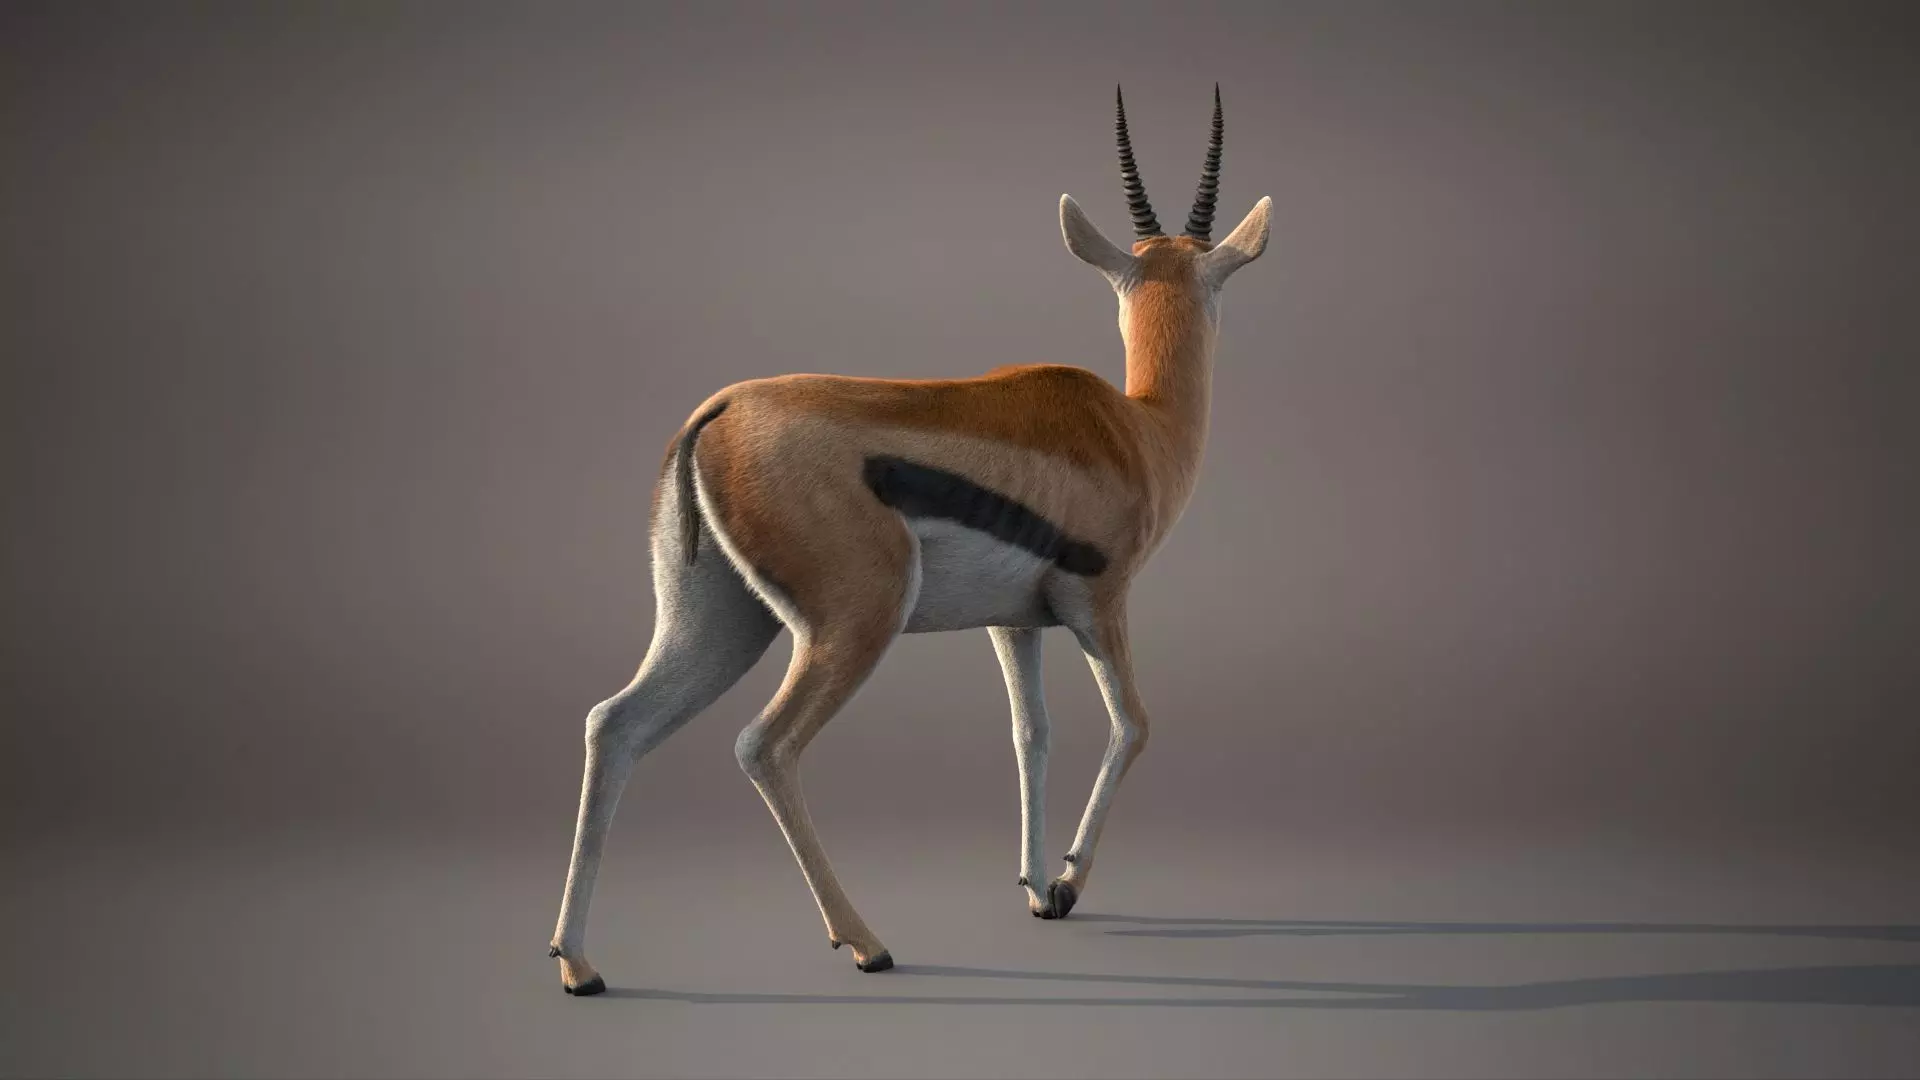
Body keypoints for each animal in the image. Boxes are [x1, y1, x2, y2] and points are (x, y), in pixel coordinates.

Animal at [548, 84, 1271, 996]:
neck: (1138, 427)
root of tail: (716, 414)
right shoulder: (1100, 602)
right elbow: (1133, 723)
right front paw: (1069, 882)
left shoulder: (1015, 622)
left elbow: (1031, 736)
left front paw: (1038, 890)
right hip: (853, 625)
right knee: (764, 745)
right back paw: (867, 943)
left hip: (719, 624)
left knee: (613, 724)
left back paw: (579, 965)